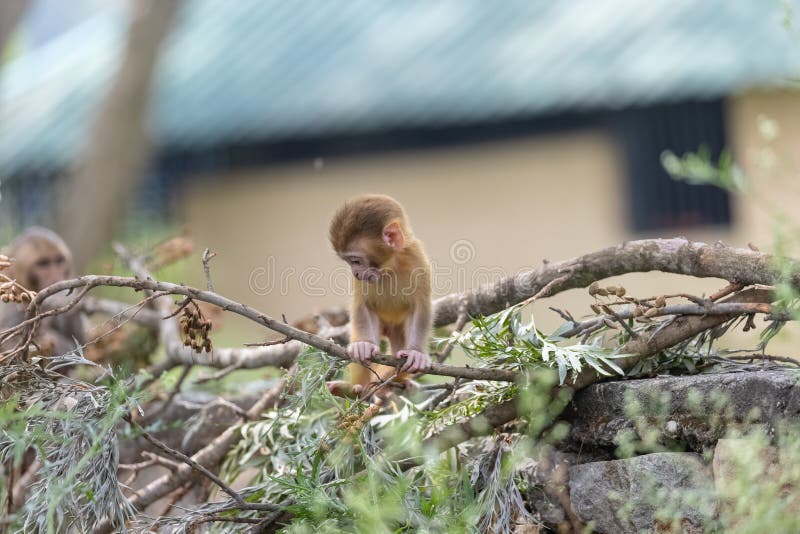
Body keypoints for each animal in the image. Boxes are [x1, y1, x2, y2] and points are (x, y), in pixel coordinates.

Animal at [327, 194, 433, 397]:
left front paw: (416, 352)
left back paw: (396, 382)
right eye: (349, 262)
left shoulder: (418, 261)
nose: (355, 273)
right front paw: (365, 345)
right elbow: (363, 306)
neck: (390, 267)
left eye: (355, 261)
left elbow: (420, 308)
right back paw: (353, 389)